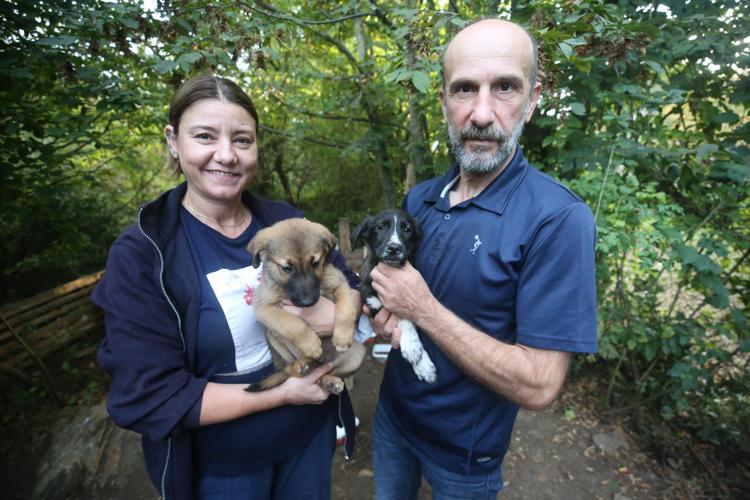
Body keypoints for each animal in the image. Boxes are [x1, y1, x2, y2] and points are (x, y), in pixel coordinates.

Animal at [247, 219, 364, 394]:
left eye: (315, 263)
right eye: (287, 268)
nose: (308, 302)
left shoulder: (340, 282)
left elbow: (346, 310)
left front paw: (342, 338)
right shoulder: (263, 306)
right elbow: (294, 324)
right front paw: (311, 345)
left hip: (357, 355)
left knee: (323, 373)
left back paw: (329, 381)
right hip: (273, 336)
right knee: (290, 371)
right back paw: (303, 363)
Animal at [354, 207, 438, 382]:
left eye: (407, 229)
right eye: (380, 227)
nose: (394, 248)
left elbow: (406, 318)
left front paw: (419, 357)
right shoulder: (373, 303)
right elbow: (401, 320)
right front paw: (419, 359)